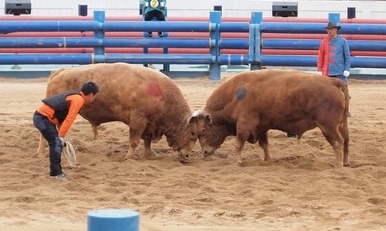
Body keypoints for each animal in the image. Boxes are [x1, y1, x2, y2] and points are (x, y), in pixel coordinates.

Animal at [36, 62, 199, 162]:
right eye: (192, 134)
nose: (187, 155)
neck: (162, 96)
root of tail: (60, 72)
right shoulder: (138, 121)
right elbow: (134, 141)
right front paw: (129, 157)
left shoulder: (149, 125)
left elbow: (146, 141)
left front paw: (148, 155)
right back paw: (41, 153)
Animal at [196, 68, 350, 168]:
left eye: (203, 130)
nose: (204, 152)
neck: (235, 95)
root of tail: (332, 82)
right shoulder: (262, 126)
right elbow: (264, 144)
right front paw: (267, 160)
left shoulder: (245, 125)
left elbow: (238, 143)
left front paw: (236, 161)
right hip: (341, 125)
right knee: (346, 141)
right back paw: (345, 162)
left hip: (328, 127)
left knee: (338, 142)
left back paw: (338, 165)